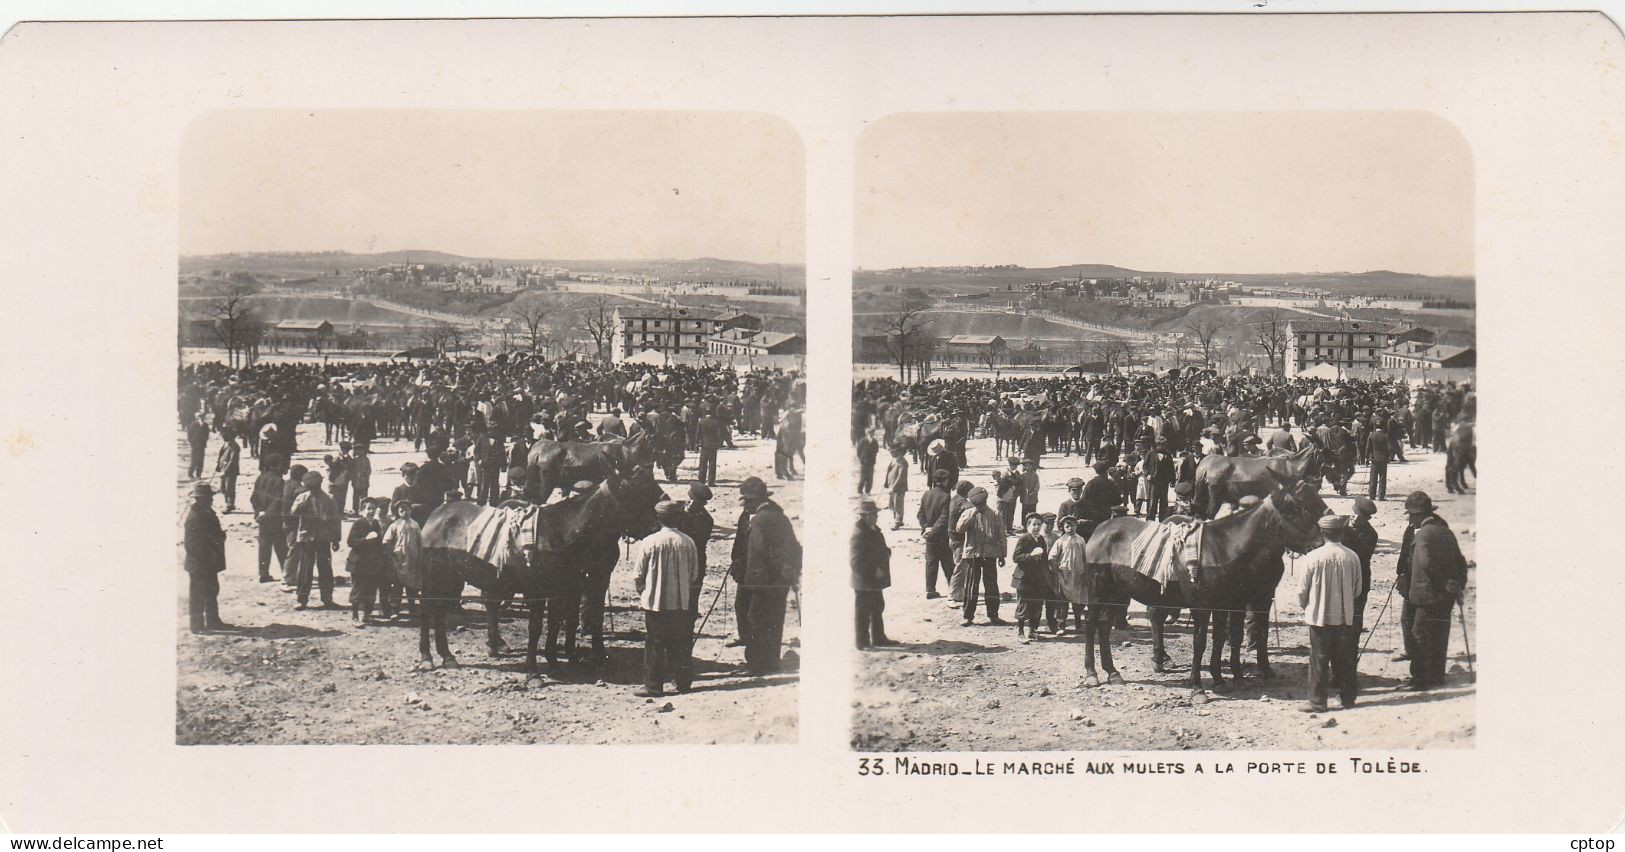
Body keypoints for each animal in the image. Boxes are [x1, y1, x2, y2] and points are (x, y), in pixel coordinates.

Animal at [412, 468, 666, 682]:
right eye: (637, 495)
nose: (656, 527)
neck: (562, 531)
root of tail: (437, 514)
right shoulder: (537, 592)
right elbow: (536, 628)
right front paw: (533, 672)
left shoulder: (561, 591)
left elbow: (554, 625)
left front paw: (554, 664)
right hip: (434, 577)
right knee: (427, 611)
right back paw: (427, 657)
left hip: (451, 578)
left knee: (440, 612)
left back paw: (448, 656)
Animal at [1072, 478, 1326, 692]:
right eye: (1295, 511)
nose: (1319, 542)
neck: (1225, 548)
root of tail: (1100, 530)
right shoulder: (1203, 606)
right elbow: (1200, 642)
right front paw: (1197, 687)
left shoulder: (1230, 603)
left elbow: (1225, 638)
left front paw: (1224, 678)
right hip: (1098, 592)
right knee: (1093, 626)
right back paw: (1092, 673)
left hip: (1116, 594)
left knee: (1105, 626)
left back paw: (1112, 672)